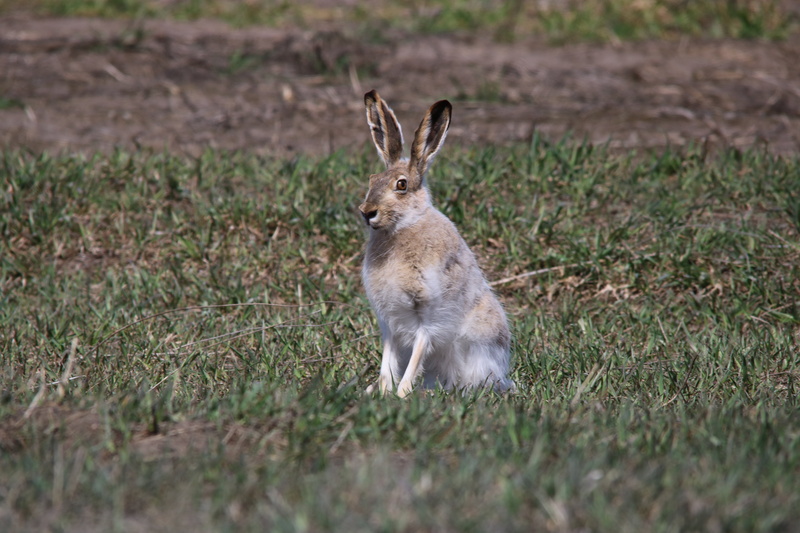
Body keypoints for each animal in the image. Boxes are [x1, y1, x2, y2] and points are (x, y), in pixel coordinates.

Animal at [359, 89, 514, 398]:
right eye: (372, 179)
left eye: (402, 185)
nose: (367, 212)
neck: (403, 227)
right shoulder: (390, 321)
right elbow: (387, 360)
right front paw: (382, 391)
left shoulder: (429, 316)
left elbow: (418, 352)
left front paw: (402, 393)